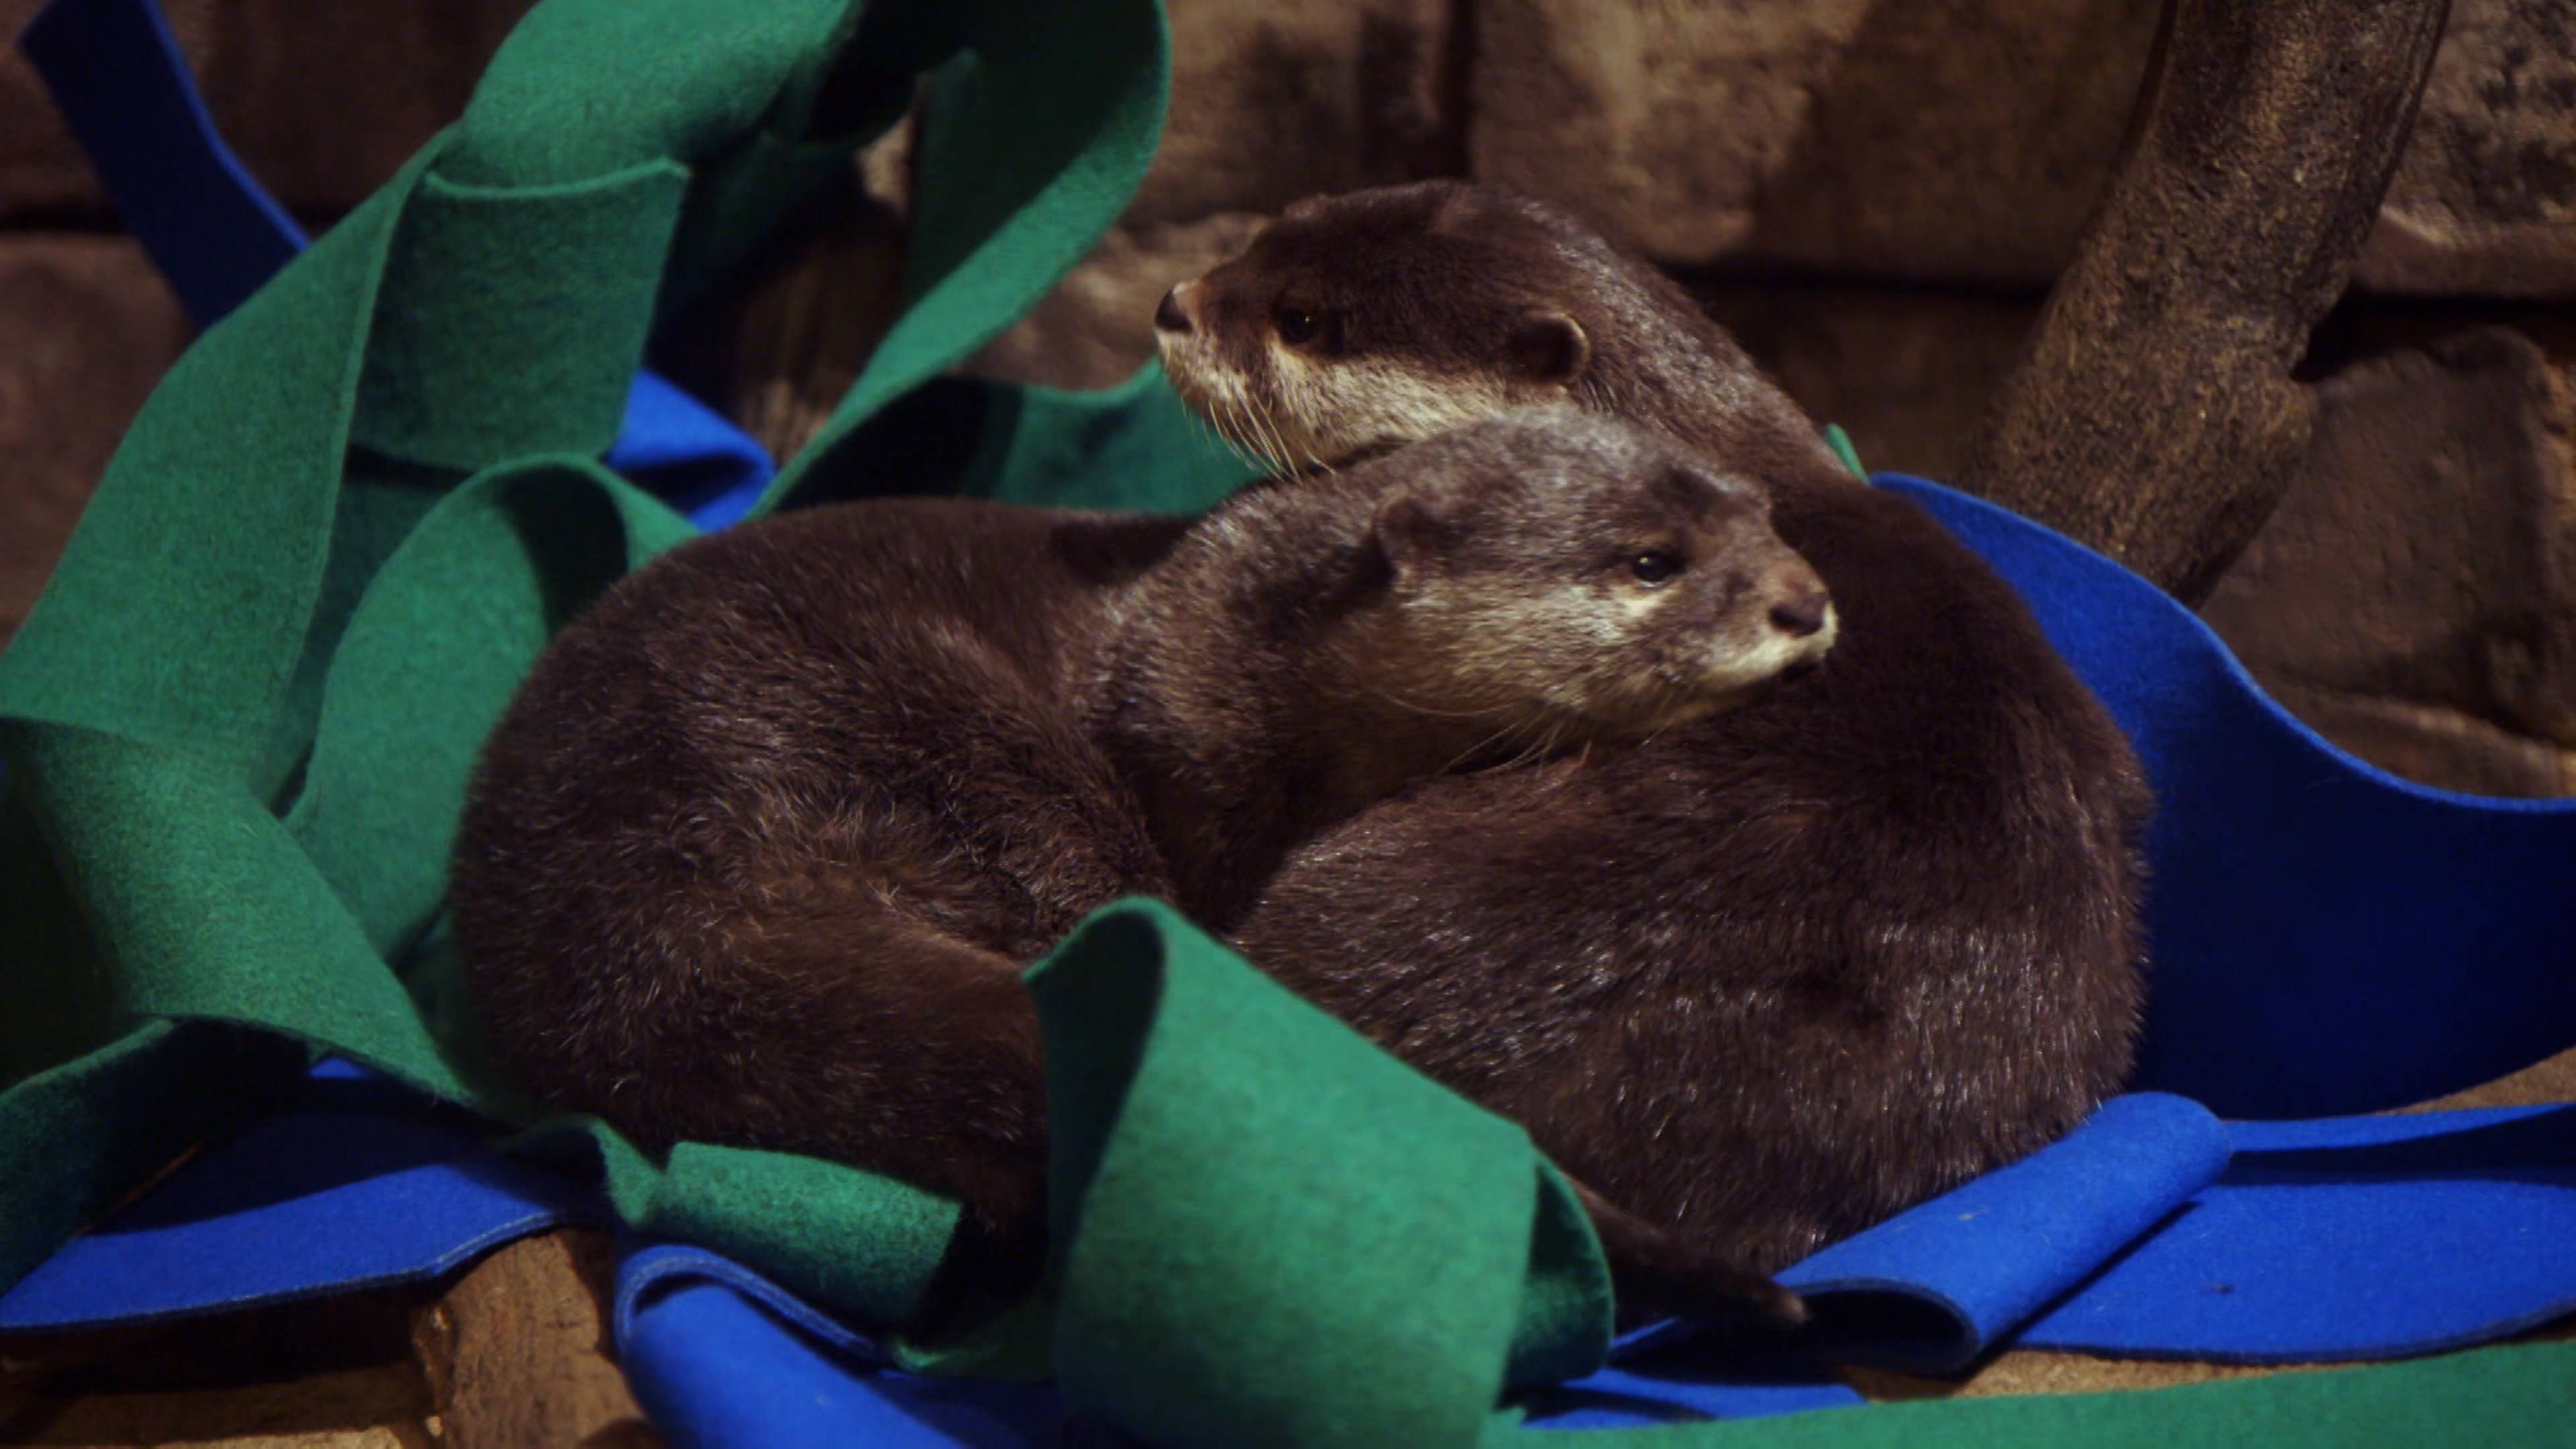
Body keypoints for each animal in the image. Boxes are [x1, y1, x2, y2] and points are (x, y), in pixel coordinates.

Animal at [452, 410, 1833, 1324]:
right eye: (1651, 560)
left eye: (1767, 518)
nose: (1806, 600)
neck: (1216, 647)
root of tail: (659, 907)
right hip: (949, 738)